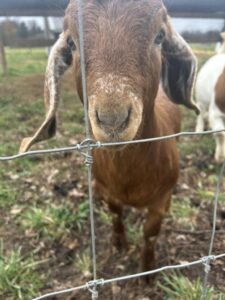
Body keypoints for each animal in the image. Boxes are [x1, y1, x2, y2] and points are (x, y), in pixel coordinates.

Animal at [19, 0, 199, 276]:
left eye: (159, 36)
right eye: (72, 43)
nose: (112, 120)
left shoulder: (161, 201)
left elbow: (150, 234)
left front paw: (147, 271)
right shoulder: (106, 191)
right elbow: (115, 216)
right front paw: (120, 245)